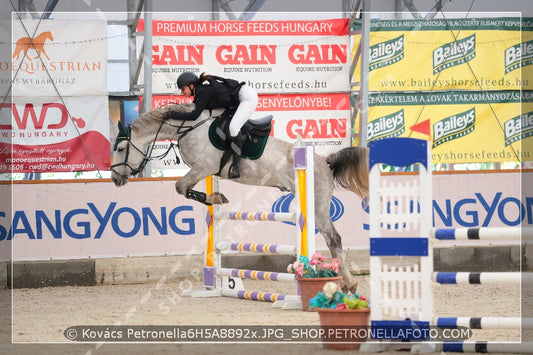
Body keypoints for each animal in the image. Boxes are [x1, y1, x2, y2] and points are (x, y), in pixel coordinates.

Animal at [110, 104, 368, 294]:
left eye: (121, 148)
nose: (114, 178)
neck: (190, 128)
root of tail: (326, 161)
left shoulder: (205, 167)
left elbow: (180, 186)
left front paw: (215, 197)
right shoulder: (204, 170)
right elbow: (185, 188)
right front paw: (215, 197)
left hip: (317, 205)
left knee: (334, 239)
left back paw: (349, 284)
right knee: (332, 240)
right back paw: (346, 284)